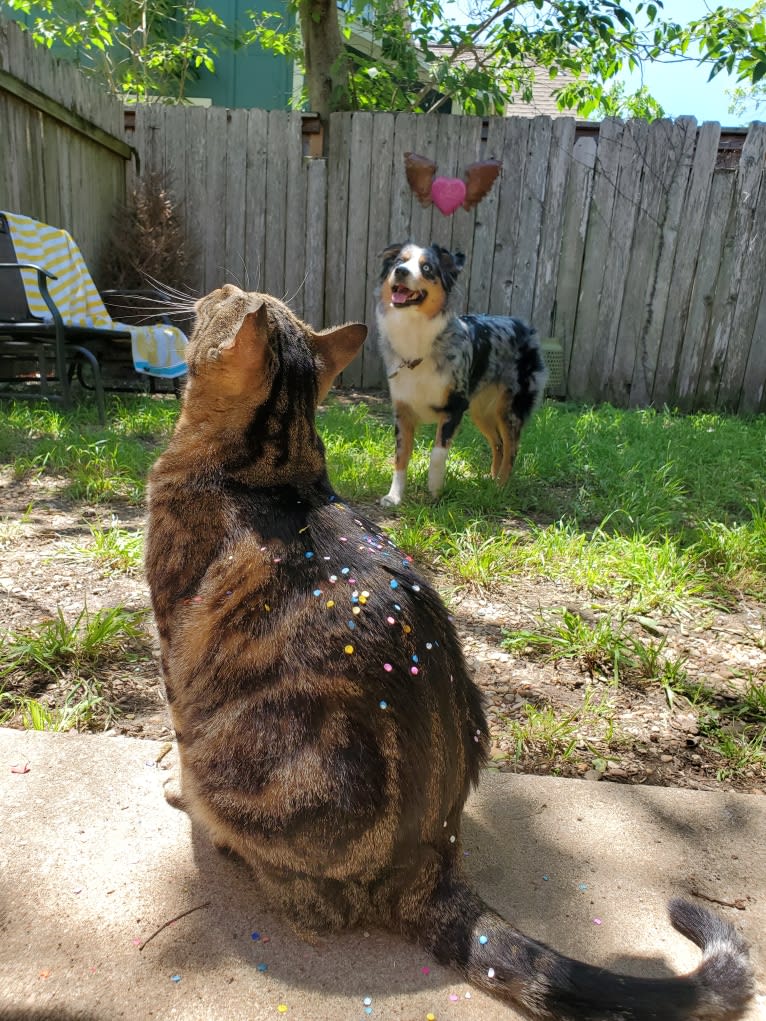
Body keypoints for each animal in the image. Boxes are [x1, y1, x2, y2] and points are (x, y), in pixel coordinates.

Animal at [147, 285, 751, 1021]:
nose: (209, 290)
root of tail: (430, 865)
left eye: (226, 297)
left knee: (305, 900)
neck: (275, 470)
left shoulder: (173, 643)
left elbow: (178, 735)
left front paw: (177, 789)